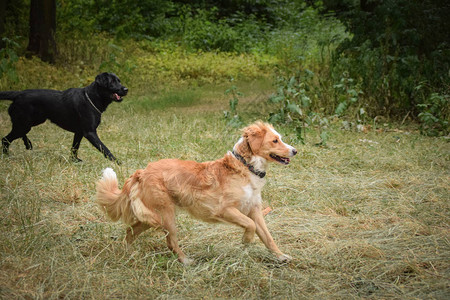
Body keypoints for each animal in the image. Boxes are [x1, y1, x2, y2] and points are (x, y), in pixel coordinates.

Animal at [96, 120, 298, 264]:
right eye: (275, 140)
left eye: (280, 138)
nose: (295, 151)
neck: (245, 167)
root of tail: (141, 172)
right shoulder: (224, 210)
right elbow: (250, 225)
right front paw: (246, 240)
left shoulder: (254, 209)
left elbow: (267, 236)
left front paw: (281, 256)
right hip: (165, 216)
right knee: (170, 242)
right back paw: (186, 261)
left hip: (153, 217)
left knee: (131, 230)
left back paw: (127, 252)